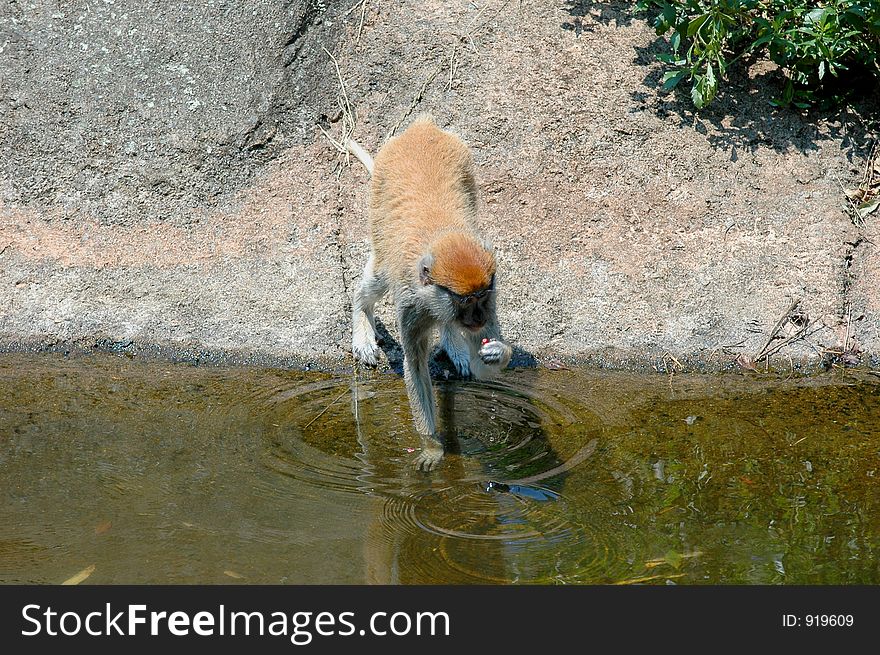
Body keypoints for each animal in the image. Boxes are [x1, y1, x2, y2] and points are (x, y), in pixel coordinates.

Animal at [344, 114, 508, 472]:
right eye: (465, 301)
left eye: (481, 297)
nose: (476, 317)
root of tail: (421, 128)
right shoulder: (411, 305)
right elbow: (415, 367)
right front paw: (431, 446)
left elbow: (483, 365)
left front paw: (496, 352)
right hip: (379, 205)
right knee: (377, 278)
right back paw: (362, 320)